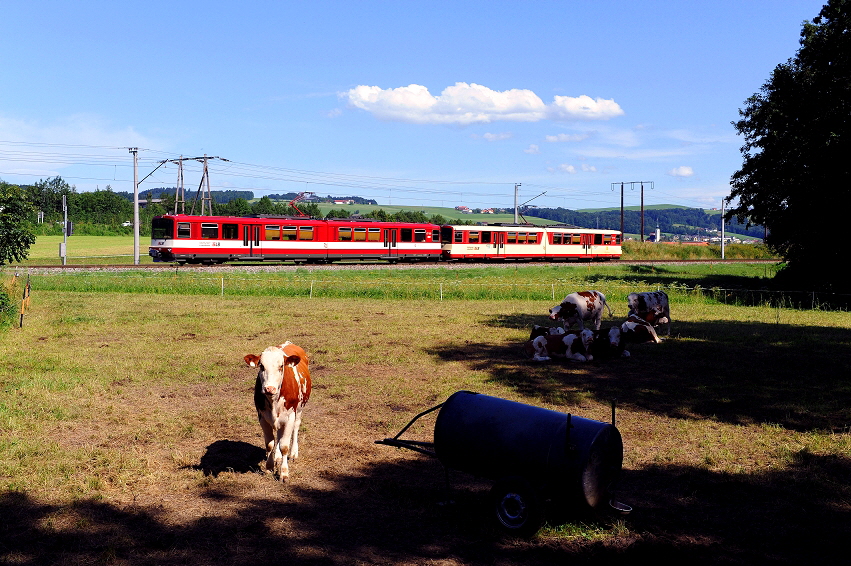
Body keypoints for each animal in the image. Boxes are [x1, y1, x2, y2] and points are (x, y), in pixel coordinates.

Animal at [243, 342, 312, 484]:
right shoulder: (262, 417)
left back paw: (293, 453)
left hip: (299, 409)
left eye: (281, 366)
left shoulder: (290, 417)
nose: (269, 388)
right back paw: (278, 458)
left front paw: (284, 473)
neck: (273, 400)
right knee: (279, 436)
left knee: (296, 428)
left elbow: (284, 446)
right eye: (261, 366)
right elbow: (270, 444)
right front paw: (269, 467)